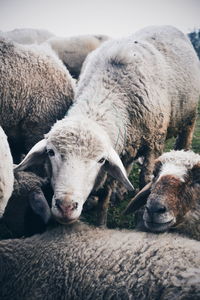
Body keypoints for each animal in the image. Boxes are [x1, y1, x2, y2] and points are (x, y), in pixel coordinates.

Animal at [14, 25, 200, 226]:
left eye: (100, 160)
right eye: (51, 152)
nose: (66, 206)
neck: (111, 87)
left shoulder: (153, 143)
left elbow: (145, 180)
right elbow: (107, 189)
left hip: (189, 116)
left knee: (185, 137)